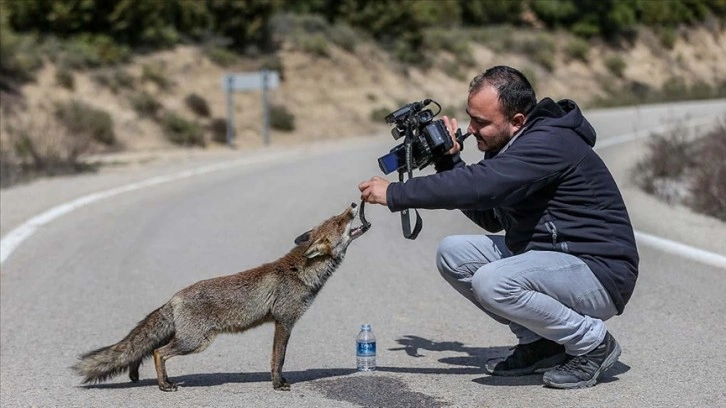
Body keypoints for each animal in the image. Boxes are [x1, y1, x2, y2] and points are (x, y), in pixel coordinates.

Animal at [70, 202, 370, 390]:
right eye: (340, 221)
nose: (353, 205)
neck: (299, 273)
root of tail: (174, 297)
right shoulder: (284, 322)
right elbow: (279, 358)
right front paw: (278, 384)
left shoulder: (280, 322)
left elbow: (277, 358)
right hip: (195, 342)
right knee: (157, 352)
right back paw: (164, 385)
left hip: (186, 338)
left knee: (145, 350)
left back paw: (142, 376)